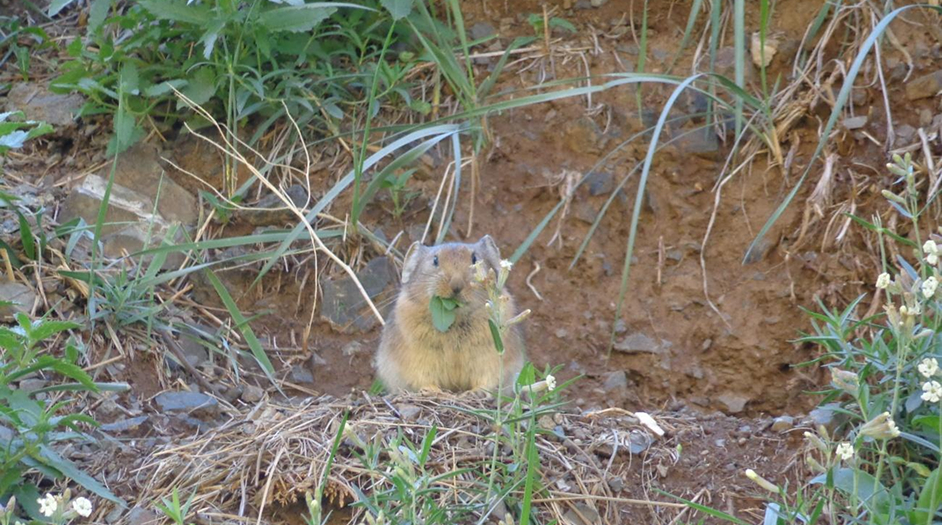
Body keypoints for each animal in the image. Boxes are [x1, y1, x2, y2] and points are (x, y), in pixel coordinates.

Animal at [374, 235, 525, 393]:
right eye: (435, 260)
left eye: (474, 258)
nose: (456, 285)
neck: (456, 319)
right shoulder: (416, 359)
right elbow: (421, 378)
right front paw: (433, 391)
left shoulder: (490, 358)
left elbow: (489, 378)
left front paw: (476, 392)